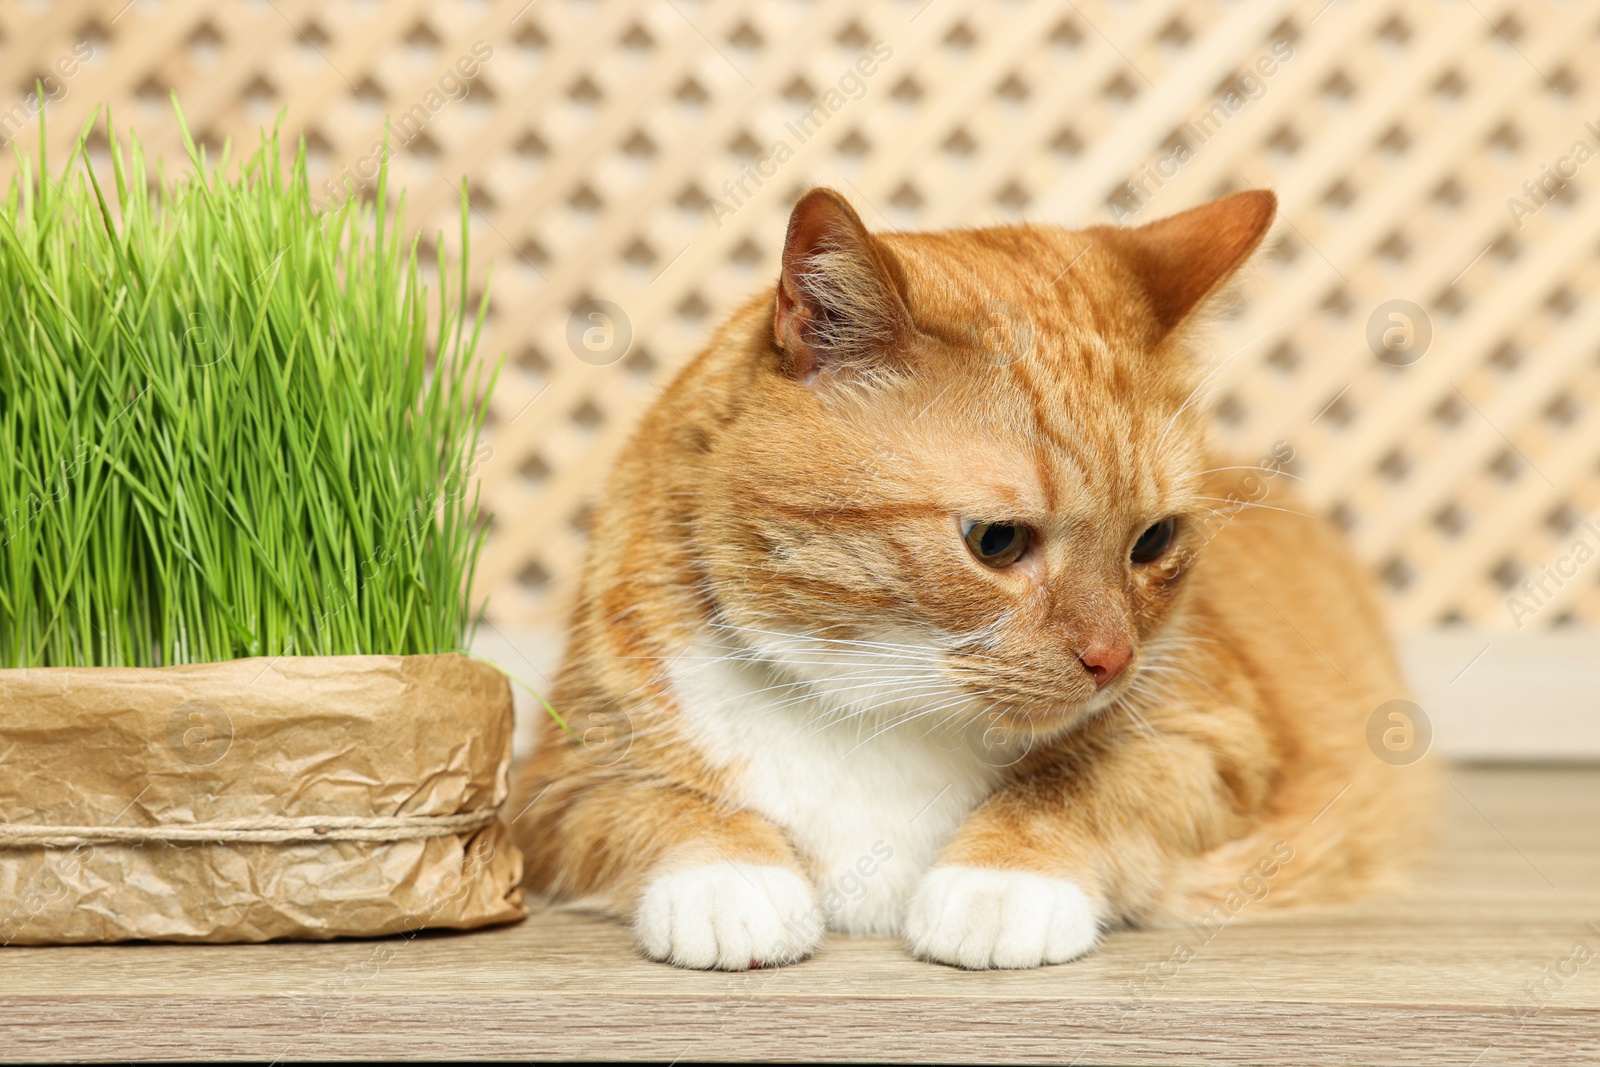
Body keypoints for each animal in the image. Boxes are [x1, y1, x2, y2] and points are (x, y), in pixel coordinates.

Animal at [508, 187, 1427, 972]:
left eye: (1155, 539)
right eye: (996, 540)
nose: (1113, 660)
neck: (881, 710)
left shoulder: (1211, 740)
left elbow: (1080, 788)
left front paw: (1002, 881)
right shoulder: (557, 783)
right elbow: (660, 806)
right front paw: (730, 879)